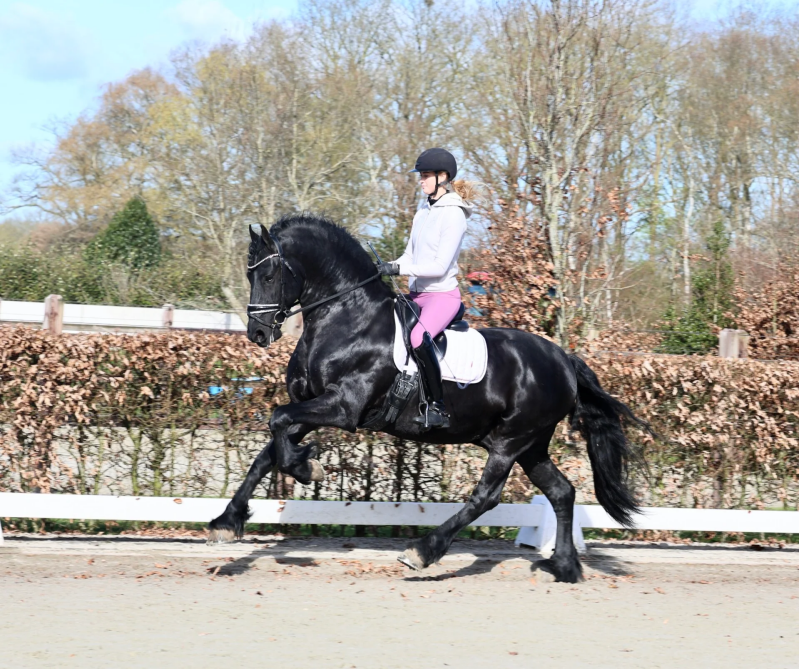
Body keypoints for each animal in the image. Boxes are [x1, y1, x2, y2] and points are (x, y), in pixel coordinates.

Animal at [208, 213, 649, 583]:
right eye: (251, 273)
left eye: (269, 274)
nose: (258, 334)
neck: (346, 317)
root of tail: (563, 358)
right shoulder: (315, 406)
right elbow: (269, 448)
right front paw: (226, 522)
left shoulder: (343, 407)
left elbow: (278, 422)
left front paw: (306, 468)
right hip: (531, 446)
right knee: (561, 492)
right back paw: (565, 565)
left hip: (512, 441)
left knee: (487, 496)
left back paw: (423, 552)